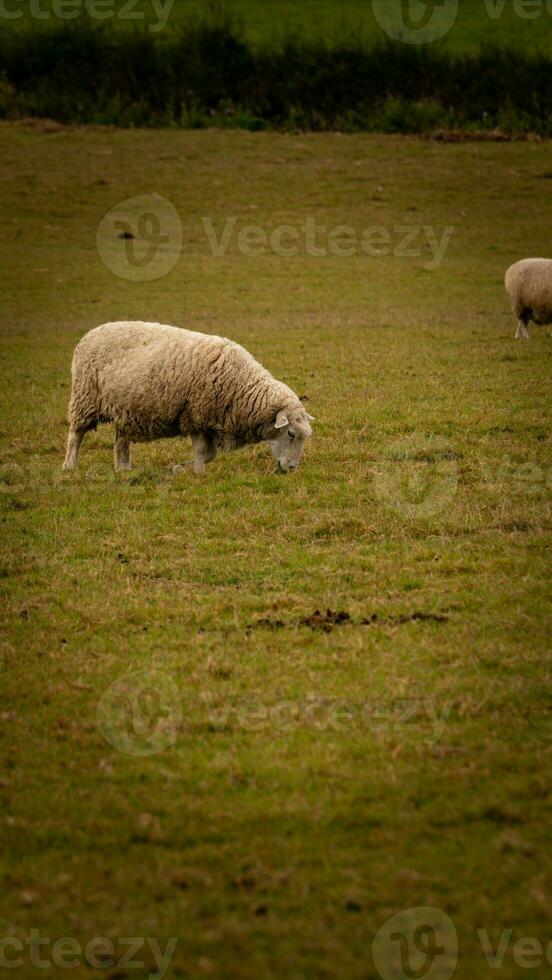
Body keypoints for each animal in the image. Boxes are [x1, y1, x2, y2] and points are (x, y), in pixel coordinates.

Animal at [62, 322, 312, 474]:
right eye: (290, 433)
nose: (291, 469)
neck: (243, 386)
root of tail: (90, 333)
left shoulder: (209, 420)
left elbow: (210, 454)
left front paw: (180, 468)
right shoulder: (196, 415)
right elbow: (203, 452)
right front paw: (198, 472)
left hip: (124, 408)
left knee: (120, 441)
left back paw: (123, 470)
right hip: (85, 397)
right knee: (76, 434)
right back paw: (69, 466)